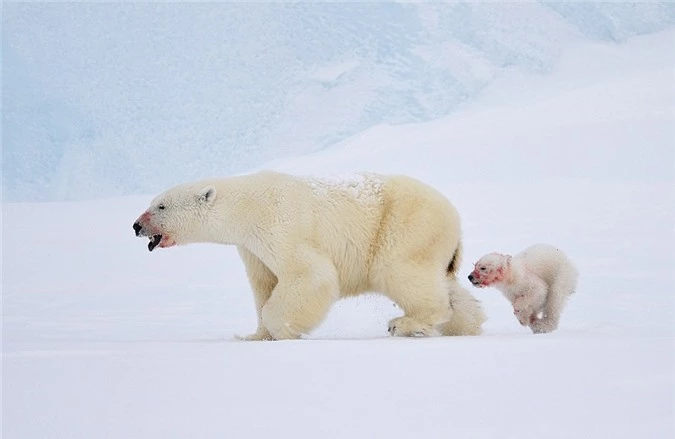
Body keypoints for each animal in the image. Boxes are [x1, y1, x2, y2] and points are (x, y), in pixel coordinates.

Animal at [133, 171, 486, 340]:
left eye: (160, 206)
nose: (136, 225)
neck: (245, 206)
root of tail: (454, 218)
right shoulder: (251, 248)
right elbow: (264, 285)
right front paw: (254, 335)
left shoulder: (279, 224)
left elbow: (309, 274)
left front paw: (284, 329)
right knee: (445, 285)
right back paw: (466, 325)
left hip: (406, 227)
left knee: (400, 271)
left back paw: (406, 323)